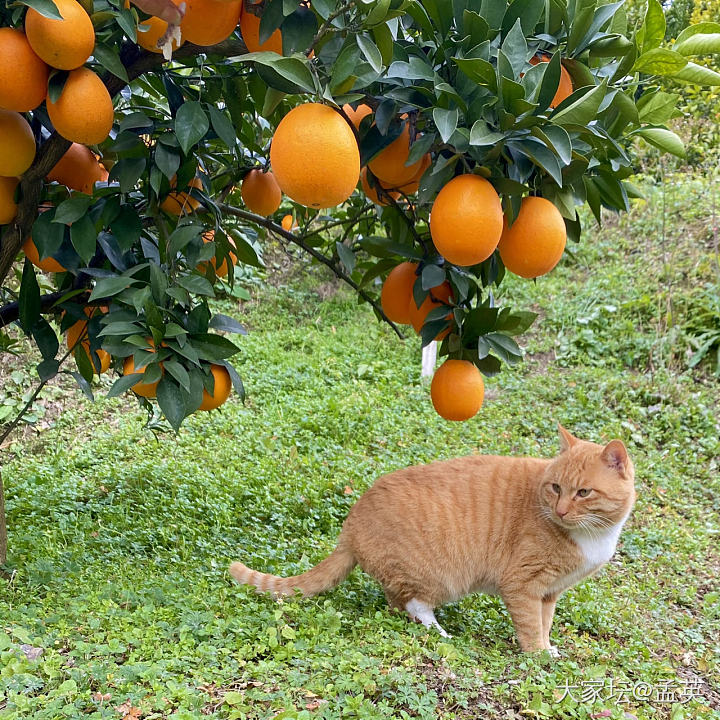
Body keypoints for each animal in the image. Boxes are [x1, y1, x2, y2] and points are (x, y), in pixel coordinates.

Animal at [229, 422, 636, 652]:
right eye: (555, 488)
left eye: (582, 493)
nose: (561, 511)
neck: (593, 534)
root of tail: (351, 522)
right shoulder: (522, 584)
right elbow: (530, 624)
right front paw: (536, 654)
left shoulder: (549, 592)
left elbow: (546, 622)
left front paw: (548, 648)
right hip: (437, 577)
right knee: (411, 604)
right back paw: (441, 632)